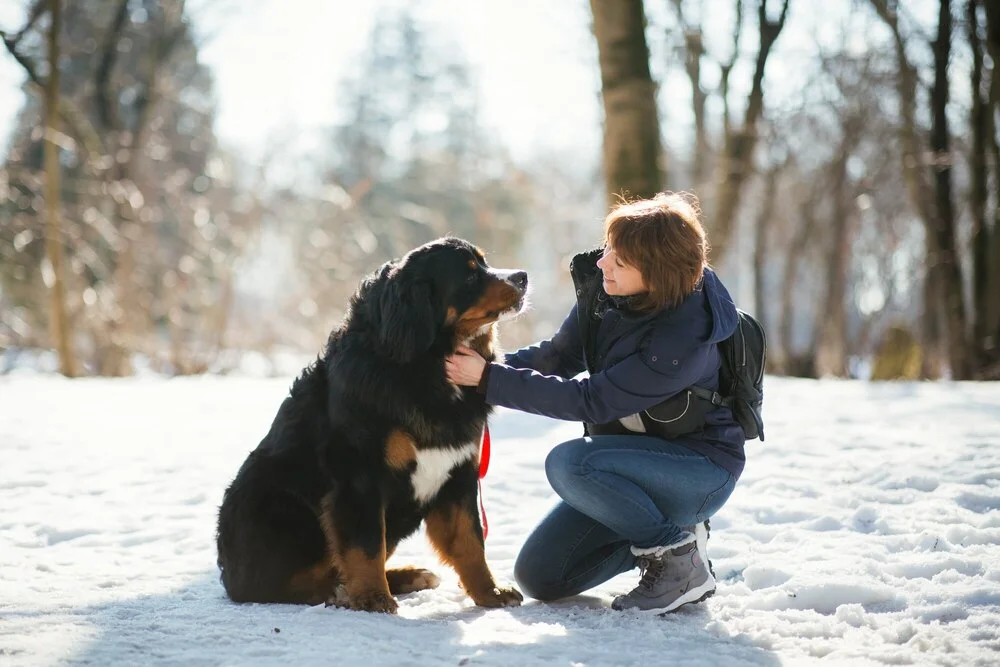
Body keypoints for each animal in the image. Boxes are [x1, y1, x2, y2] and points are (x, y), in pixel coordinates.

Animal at [217, 237, 532, 612]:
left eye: (484, 263)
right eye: (470, 275)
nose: (522, 276)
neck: (426, 364)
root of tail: (229, 574)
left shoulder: (458, 474)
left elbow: (470, 542)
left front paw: (490, 592)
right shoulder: (360, 476)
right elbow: (366, 545)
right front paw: (372, 596)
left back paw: (408, 576)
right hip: (281, 506)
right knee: (284, 585)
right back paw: (342, 592)